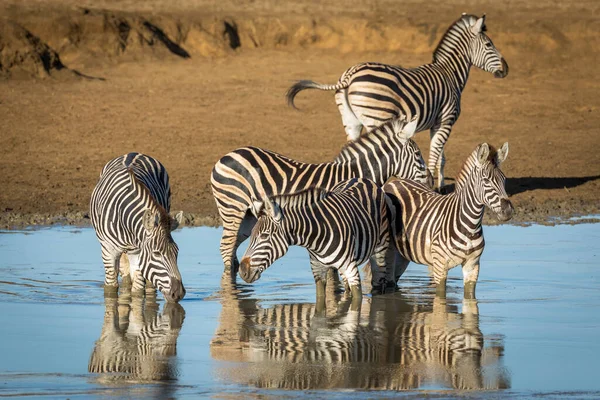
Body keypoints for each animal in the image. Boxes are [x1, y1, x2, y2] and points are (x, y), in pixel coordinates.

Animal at [89, 153, 185, 304]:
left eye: (177, 252)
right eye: (156, 253)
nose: (179, 294)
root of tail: (134, 153)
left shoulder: (139, 252)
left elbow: (138, 291)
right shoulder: (108, 250)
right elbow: (110, 289)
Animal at [211, 115, 432, 278]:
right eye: (418, 156)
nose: (431, 183)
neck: (354, 173)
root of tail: (227, 156)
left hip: (248, 216)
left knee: (232, 248)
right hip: (232, 208)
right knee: (226, 248)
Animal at [237, 178, 396, 304]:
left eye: (264, 236)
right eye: (251, 236)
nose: (242, 271)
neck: (316, 236)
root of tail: (363, 179)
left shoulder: (350, 268)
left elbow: (357, 301)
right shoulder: (317, 269)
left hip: (380, 249)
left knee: (378, 281)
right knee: (346, 289)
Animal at [286, 14, 506, 191]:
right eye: (489, 45)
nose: (506, 69)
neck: (449, 74)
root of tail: (349, 76)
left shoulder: (438, 123)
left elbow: (441, 157)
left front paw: (441, 185)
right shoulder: (446, 120)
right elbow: (435, 155)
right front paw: (434, 189)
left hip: (350, 119)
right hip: (376, 117)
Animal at [382, 142, 512, 298]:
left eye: (504, 179)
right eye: (486, 180)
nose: (508, 211)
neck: (469, 225)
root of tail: (393, 182)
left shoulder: (472, 265)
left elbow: (470, 297)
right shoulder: (440, 266)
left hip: (403, 252)